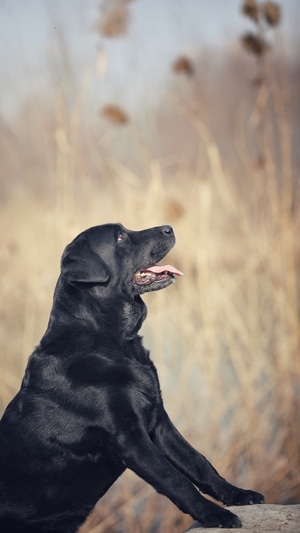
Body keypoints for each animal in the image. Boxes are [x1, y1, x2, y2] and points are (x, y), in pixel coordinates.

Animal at [0, 222, 262, 528]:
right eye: (121, 236)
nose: (169, 228)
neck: (113, 340)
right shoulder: (128, 438)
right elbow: (174, 479)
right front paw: (215, 514)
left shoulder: (158, 421)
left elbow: (198, 461)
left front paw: (236, 493)